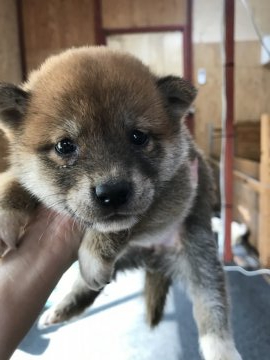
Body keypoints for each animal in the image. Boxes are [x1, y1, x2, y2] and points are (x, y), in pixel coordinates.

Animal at [0, 47, 242, 360]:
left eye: (138, 136)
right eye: (65, 146)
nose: (112, 193)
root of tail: (154, 259)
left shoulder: (177, 191)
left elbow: (120, 227)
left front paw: (94, 250)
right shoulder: (26, 175)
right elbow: (13, 180)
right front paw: (7, 214)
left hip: (201, 261)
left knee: (213, 310)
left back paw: (221, 350)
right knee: (86, 285)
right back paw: (62, 309)